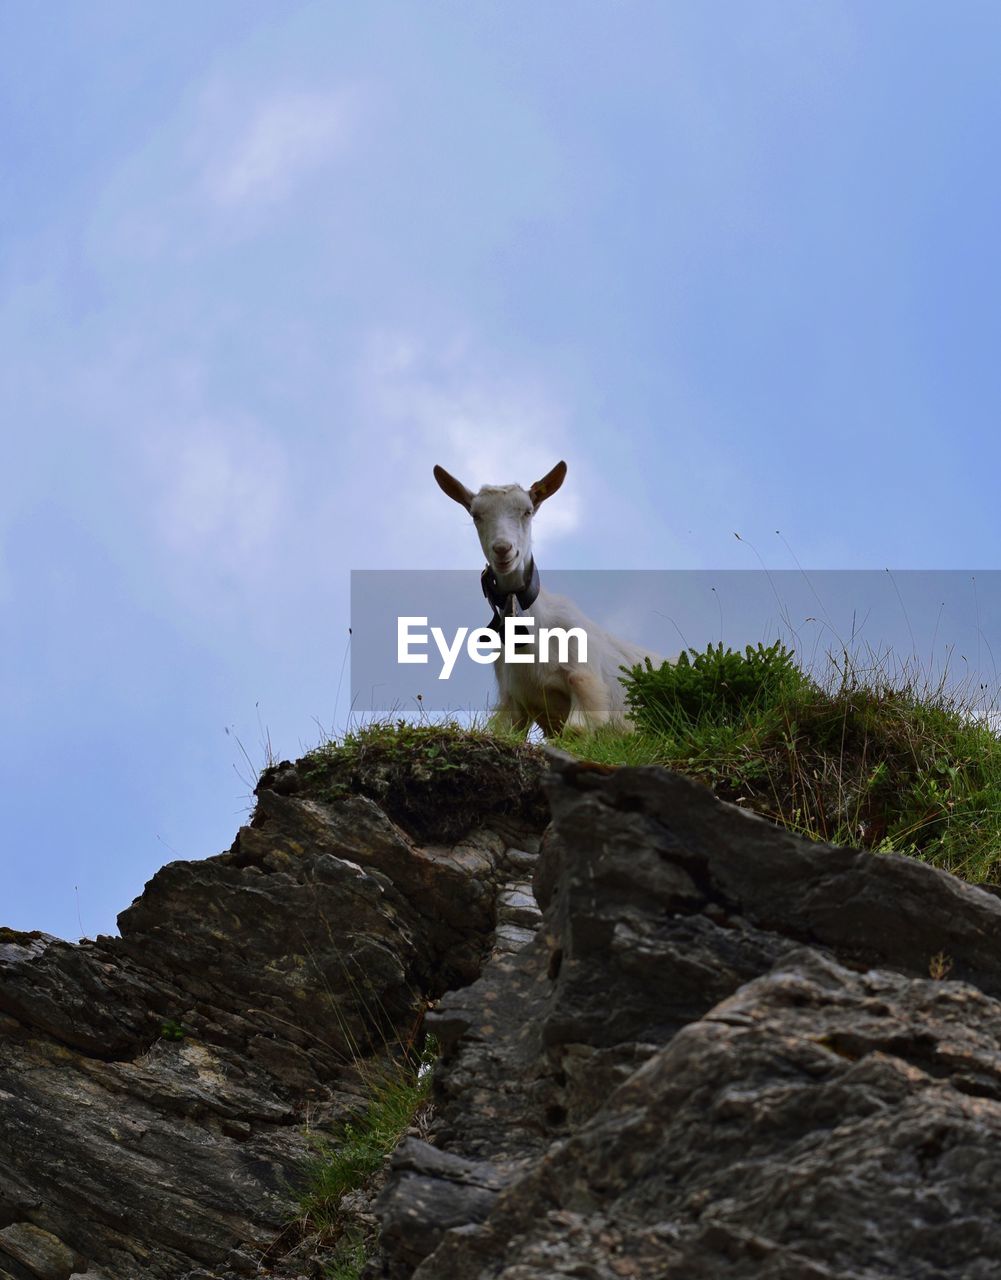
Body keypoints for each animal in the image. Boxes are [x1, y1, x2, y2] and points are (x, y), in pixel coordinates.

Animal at [435, 460, 670, 742]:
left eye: (527, 511)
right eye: (475, 515)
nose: (503, 550)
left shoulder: (584, 681)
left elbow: (576, 730)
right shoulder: (513, 702)